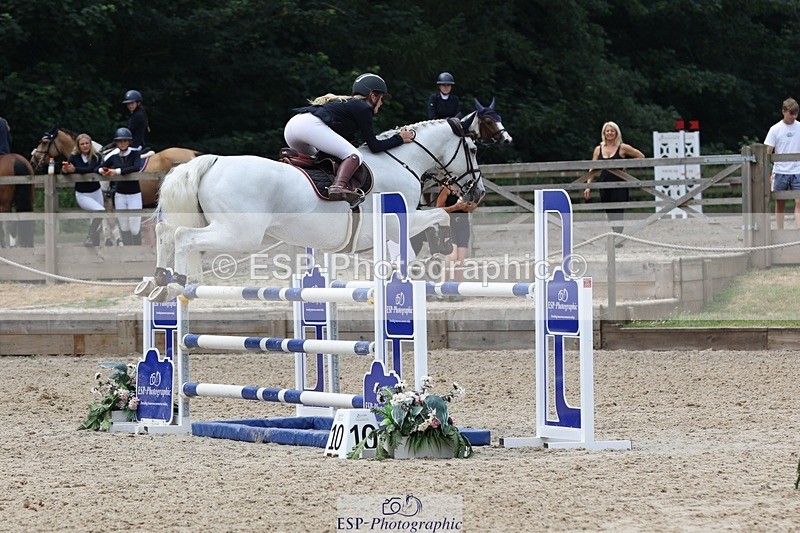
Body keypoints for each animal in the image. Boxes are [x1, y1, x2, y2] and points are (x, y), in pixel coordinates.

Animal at [138, 113, 486, 302]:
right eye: (472, 148)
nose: (478, 191)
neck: (401, 161)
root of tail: (211, 162)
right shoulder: (402, 220)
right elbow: (438, 216)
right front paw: (442, 243)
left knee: (165, 230)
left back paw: (157, 282)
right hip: (239, 234)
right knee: (183, 236)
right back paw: (178, 283)